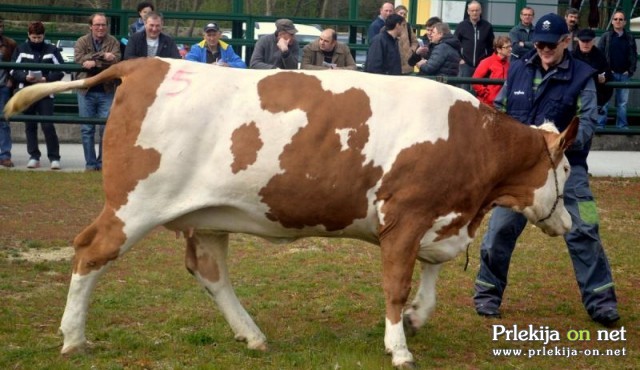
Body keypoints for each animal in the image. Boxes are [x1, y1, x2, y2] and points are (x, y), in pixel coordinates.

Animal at [3, 57, 576, 368]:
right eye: (568, 168)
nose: (570, 224)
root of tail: (143, 64)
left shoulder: (440, 220)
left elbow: (431, 271)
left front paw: (417, 317)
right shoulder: (406, 216)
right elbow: (395, 283)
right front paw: (399, 345)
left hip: (206, 214)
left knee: (210, 272)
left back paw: (251, 334)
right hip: (134, 204)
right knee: (89, 251)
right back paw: (73, 338)